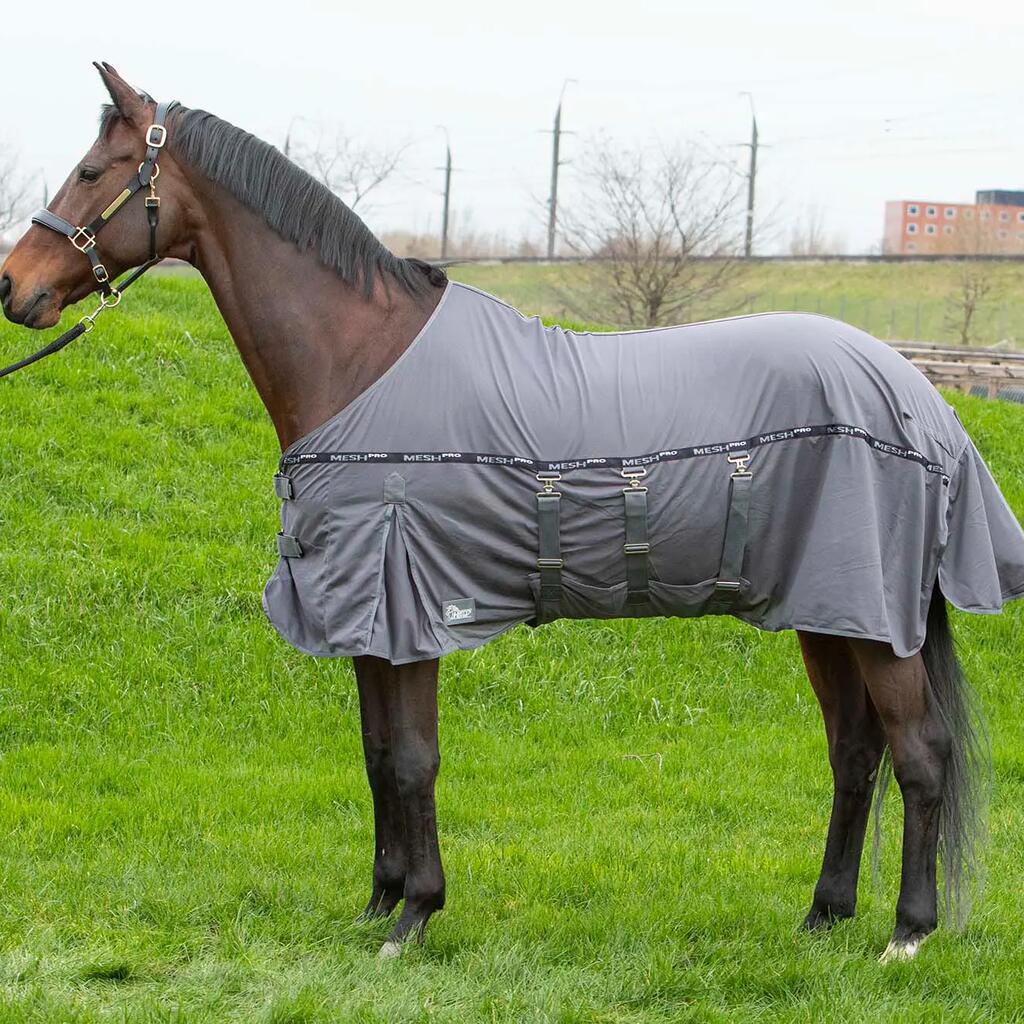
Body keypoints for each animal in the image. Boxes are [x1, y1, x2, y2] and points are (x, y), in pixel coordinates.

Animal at [2, 63, 1022, 963]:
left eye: (91, 171)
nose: (16, 288)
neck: (360, 358)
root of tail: (920, 399)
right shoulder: (368, 616)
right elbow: (376, 752)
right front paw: (377, 906)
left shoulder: (405, 604)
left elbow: (413, 758)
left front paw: (415, 918)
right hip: (831, 613)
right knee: (855, 754)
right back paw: (822, 917)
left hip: (874, 619)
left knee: (919, 753)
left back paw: (906, 934)